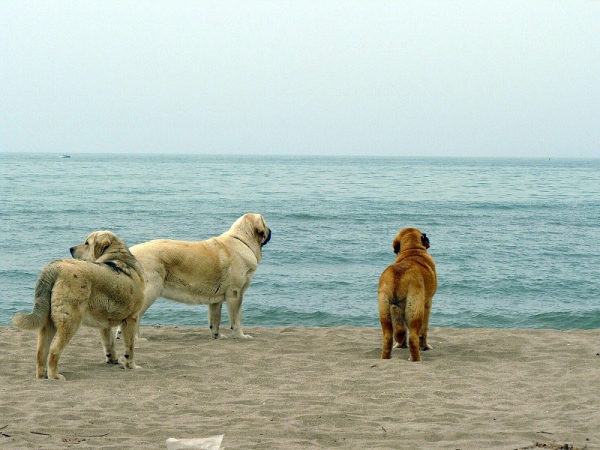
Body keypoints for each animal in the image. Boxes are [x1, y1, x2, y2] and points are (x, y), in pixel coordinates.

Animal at [12, 232, 145, 380]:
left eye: (86, 243)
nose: (71, 249)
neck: (116, 255)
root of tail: (54, 267)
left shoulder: (105, 324)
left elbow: (109, 343)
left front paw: (113, 360)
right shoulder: (131, 319)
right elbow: (130, 348)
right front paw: (131, 366)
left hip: (48, 322)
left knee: (41, 352)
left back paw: (42, 376)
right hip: (70, 321)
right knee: (54, 351)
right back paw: (55, 376)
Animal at [119, 214, 272, 338]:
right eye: (265, 224)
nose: (271, 231)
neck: (242, 240)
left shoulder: (216, 300)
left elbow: (215, 320)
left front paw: (217, 336)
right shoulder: (235, 294)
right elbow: (236, 319)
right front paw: (241, 336)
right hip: (150, 291)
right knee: (135, 317)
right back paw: (137, 339)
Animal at [380, 227, 436, 360]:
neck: (412, 249)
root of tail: (398, 277)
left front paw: (401, 346)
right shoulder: (427, 304)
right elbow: (424, 331)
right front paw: (425, 347)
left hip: (385, 312)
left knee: (388, 337)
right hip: (415, 310)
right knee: (414, 337)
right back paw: (416, 359)